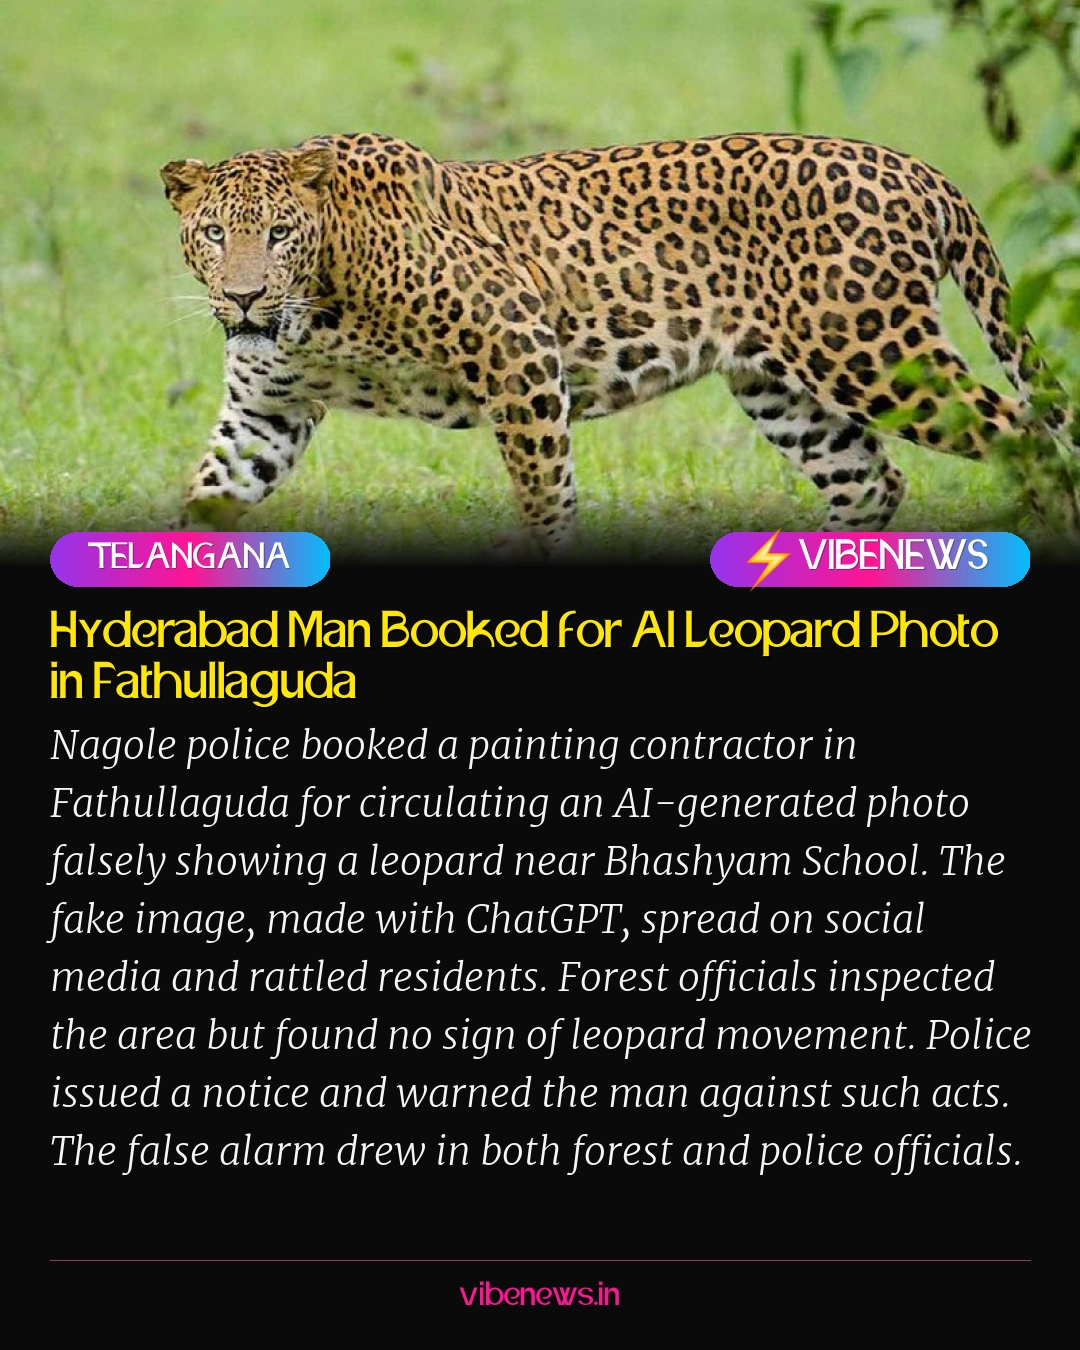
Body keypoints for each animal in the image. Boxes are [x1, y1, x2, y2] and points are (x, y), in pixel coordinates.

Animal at [162, 131, 1079, 554]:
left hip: (873, 353)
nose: (243, 296)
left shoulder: (519, 346)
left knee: (1026, 435)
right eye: (214, 233)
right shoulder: (265, 415)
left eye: (280, 233)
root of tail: (915, 167)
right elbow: (207, 499)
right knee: (872, 481)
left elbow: (545, 494)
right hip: (782, 386)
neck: (315, 308)